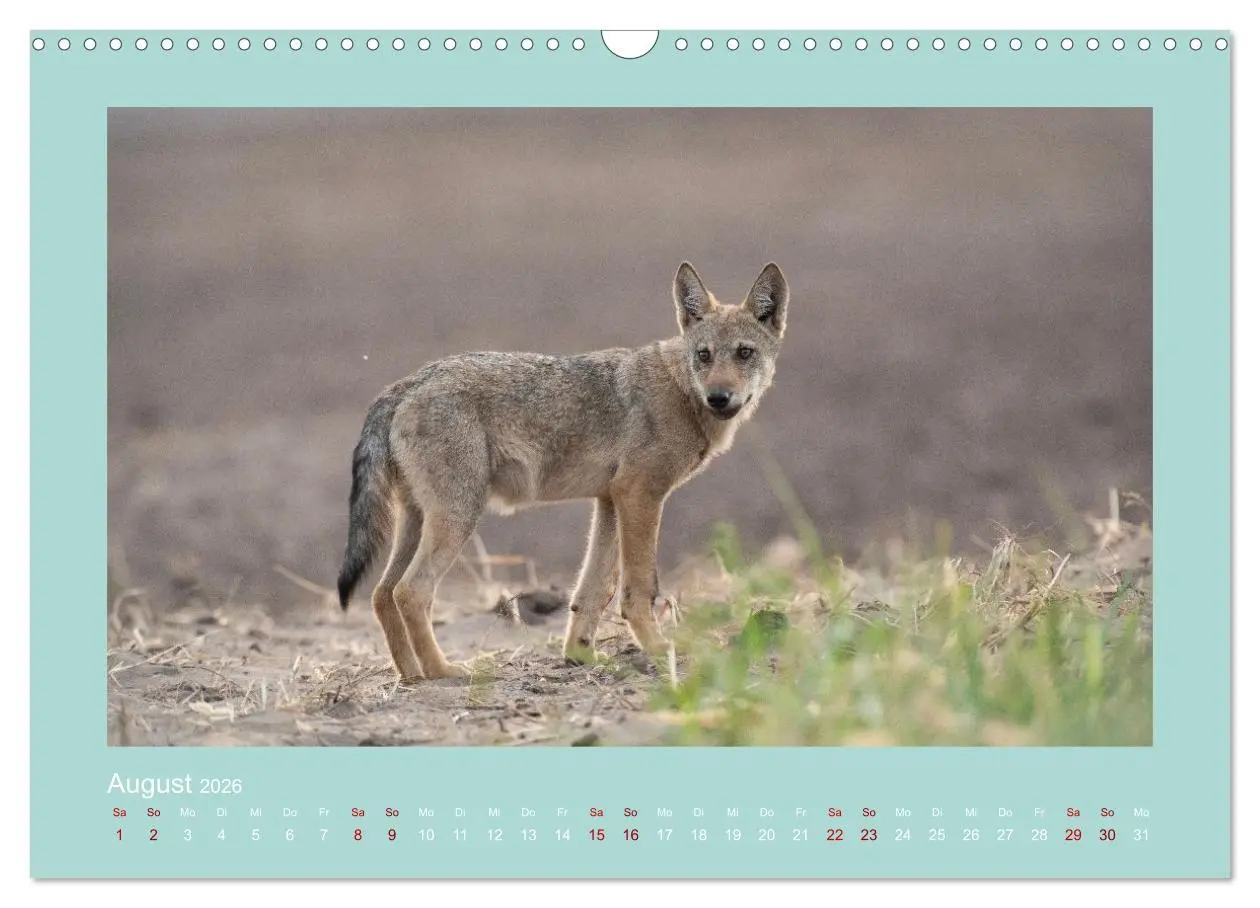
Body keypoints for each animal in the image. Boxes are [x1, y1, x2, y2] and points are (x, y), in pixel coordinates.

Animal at [336, 262, 790, 681]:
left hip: (418, 521)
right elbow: (637, 589)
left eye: (744, 353)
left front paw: (580, 656)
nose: (719, 397)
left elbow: (593, 590)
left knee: (382, 593)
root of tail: (405, 384)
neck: (680, 391)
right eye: (704, 355)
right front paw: (660, 649)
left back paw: (410, 674)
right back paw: (443, 671)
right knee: (411, 592)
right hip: (458, 517)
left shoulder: (610, 500)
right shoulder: (640, 495)